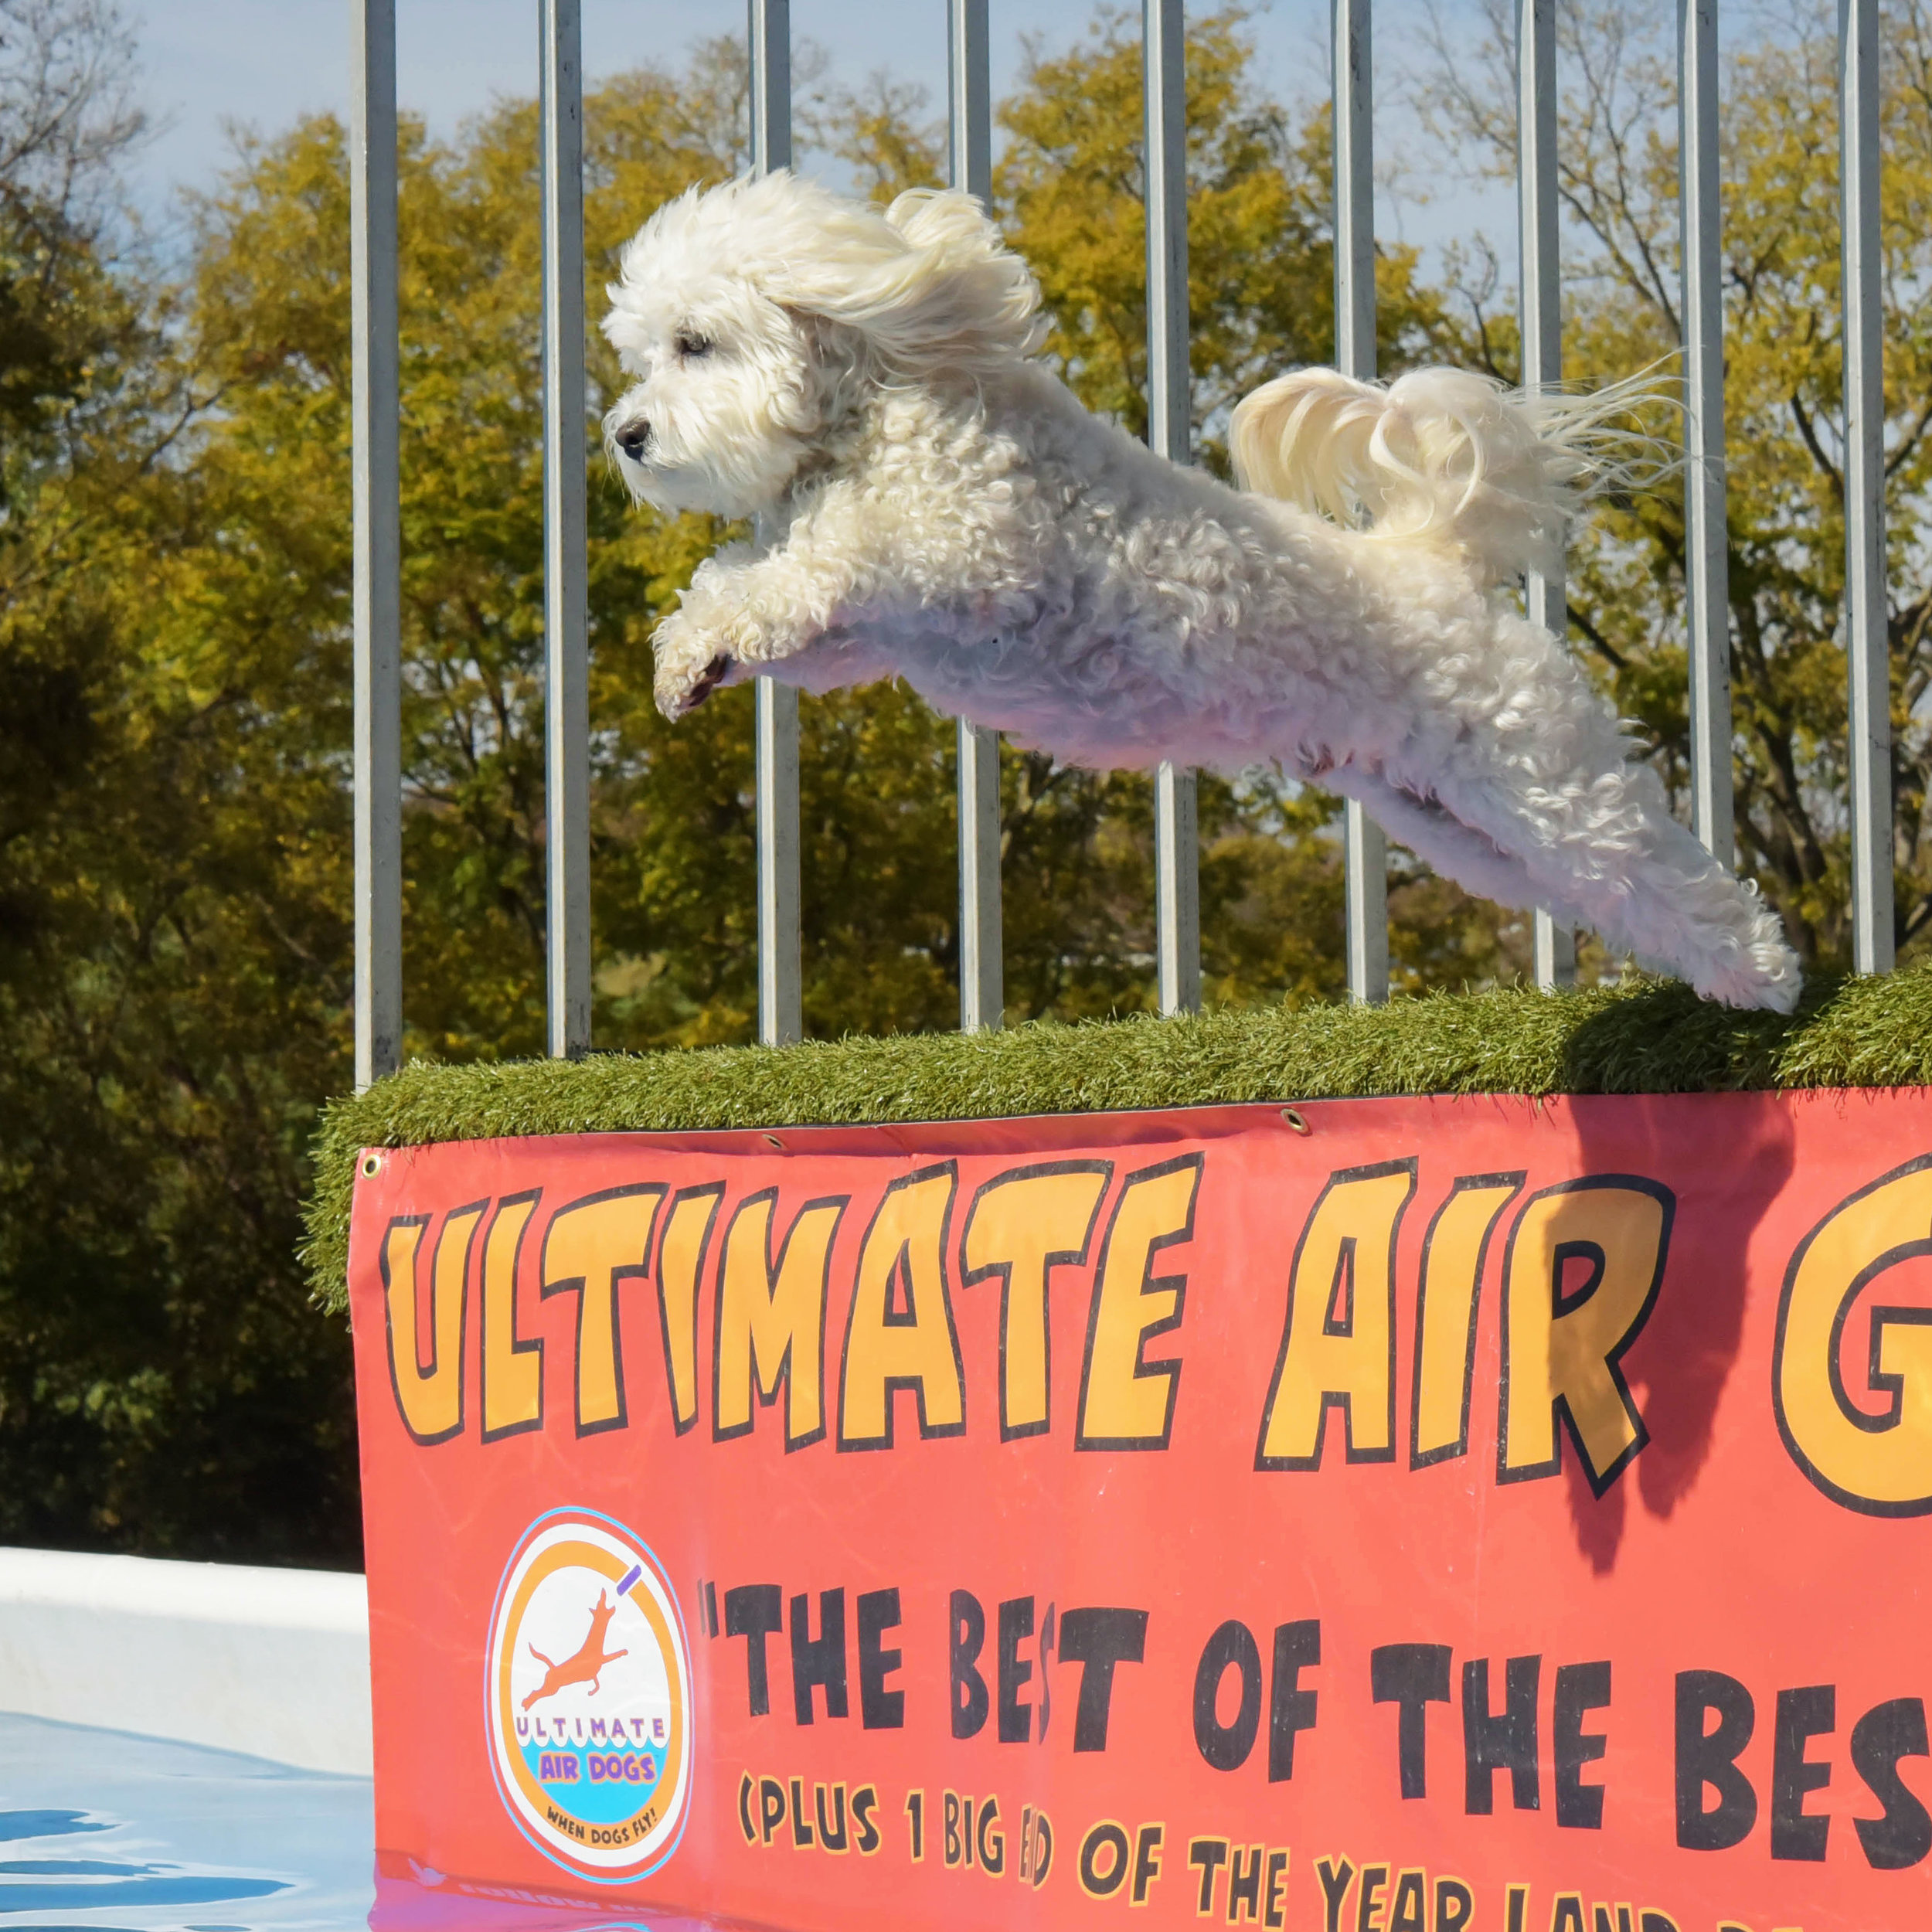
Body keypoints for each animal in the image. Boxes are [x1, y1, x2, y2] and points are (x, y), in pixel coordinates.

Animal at [607, 170, 1808, 1012]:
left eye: (695, 343)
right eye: (646, 352)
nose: (624, 434)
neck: (886, 404)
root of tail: (1428, 561)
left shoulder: (966, 542)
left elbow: (823, 563)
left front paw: (710, 635)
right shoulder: (868, 633)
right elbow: (761, 590)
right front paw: (691, 658)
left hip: (1543, 773)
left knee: (1660, 869)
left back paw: (1774, 975)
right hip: (1461, 825)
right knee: (1611, 894)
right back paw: (1724, 983)